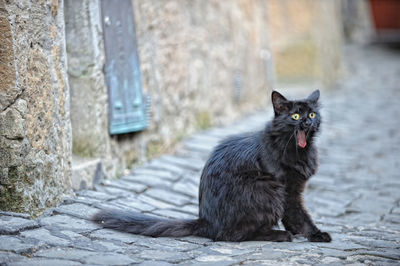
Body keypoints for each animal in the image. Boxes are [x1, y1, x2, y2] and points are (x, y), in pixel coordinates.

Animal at [93, 90, 332, 243]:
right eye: (295, 116)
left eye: (312, 114)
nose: (307, 122)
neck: (298, 150)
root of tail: (205, 221)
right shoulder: (287, 188)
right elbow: (298, 215)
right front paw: (314, 234)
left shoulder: (296, 188)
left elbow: (296, 216)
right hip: (265, 188)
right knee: (231, 235)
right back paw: (279, 235)